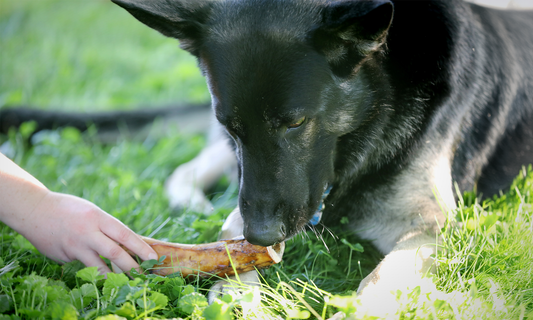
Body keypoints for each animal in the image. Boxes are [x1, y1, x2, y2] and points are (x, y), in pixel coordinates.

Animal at [112, 0, 532, 312]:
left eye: (296, 122)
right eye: (231, 124)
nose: (262, 235)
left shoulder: (430, 225)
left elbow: (382, 278)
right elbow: (231, 234)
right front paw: (237, 294)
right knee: (185, 171)